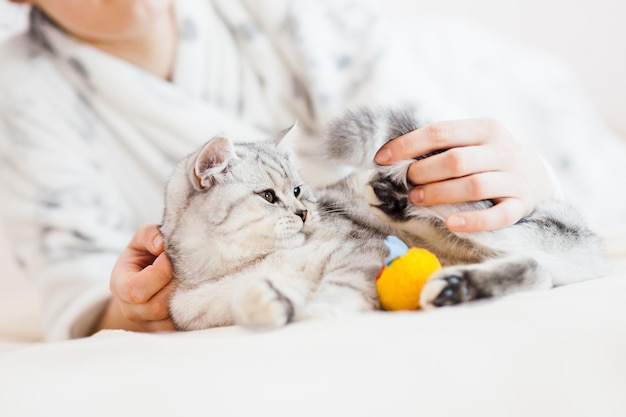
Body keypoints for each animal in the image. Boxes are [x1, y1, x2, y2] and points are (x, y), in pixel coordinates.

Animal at [160, 108, 604, 332]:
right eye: (269, 197)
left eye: (298, 191)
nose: (304, 213)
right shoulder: (195, 308)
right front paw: (271, 304)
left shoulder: (358, 247)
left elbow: (340, 286)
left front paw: (321, 309)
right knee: (534, 270)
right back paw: (455, 287)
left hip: (476, 220)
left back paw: (399, 197)